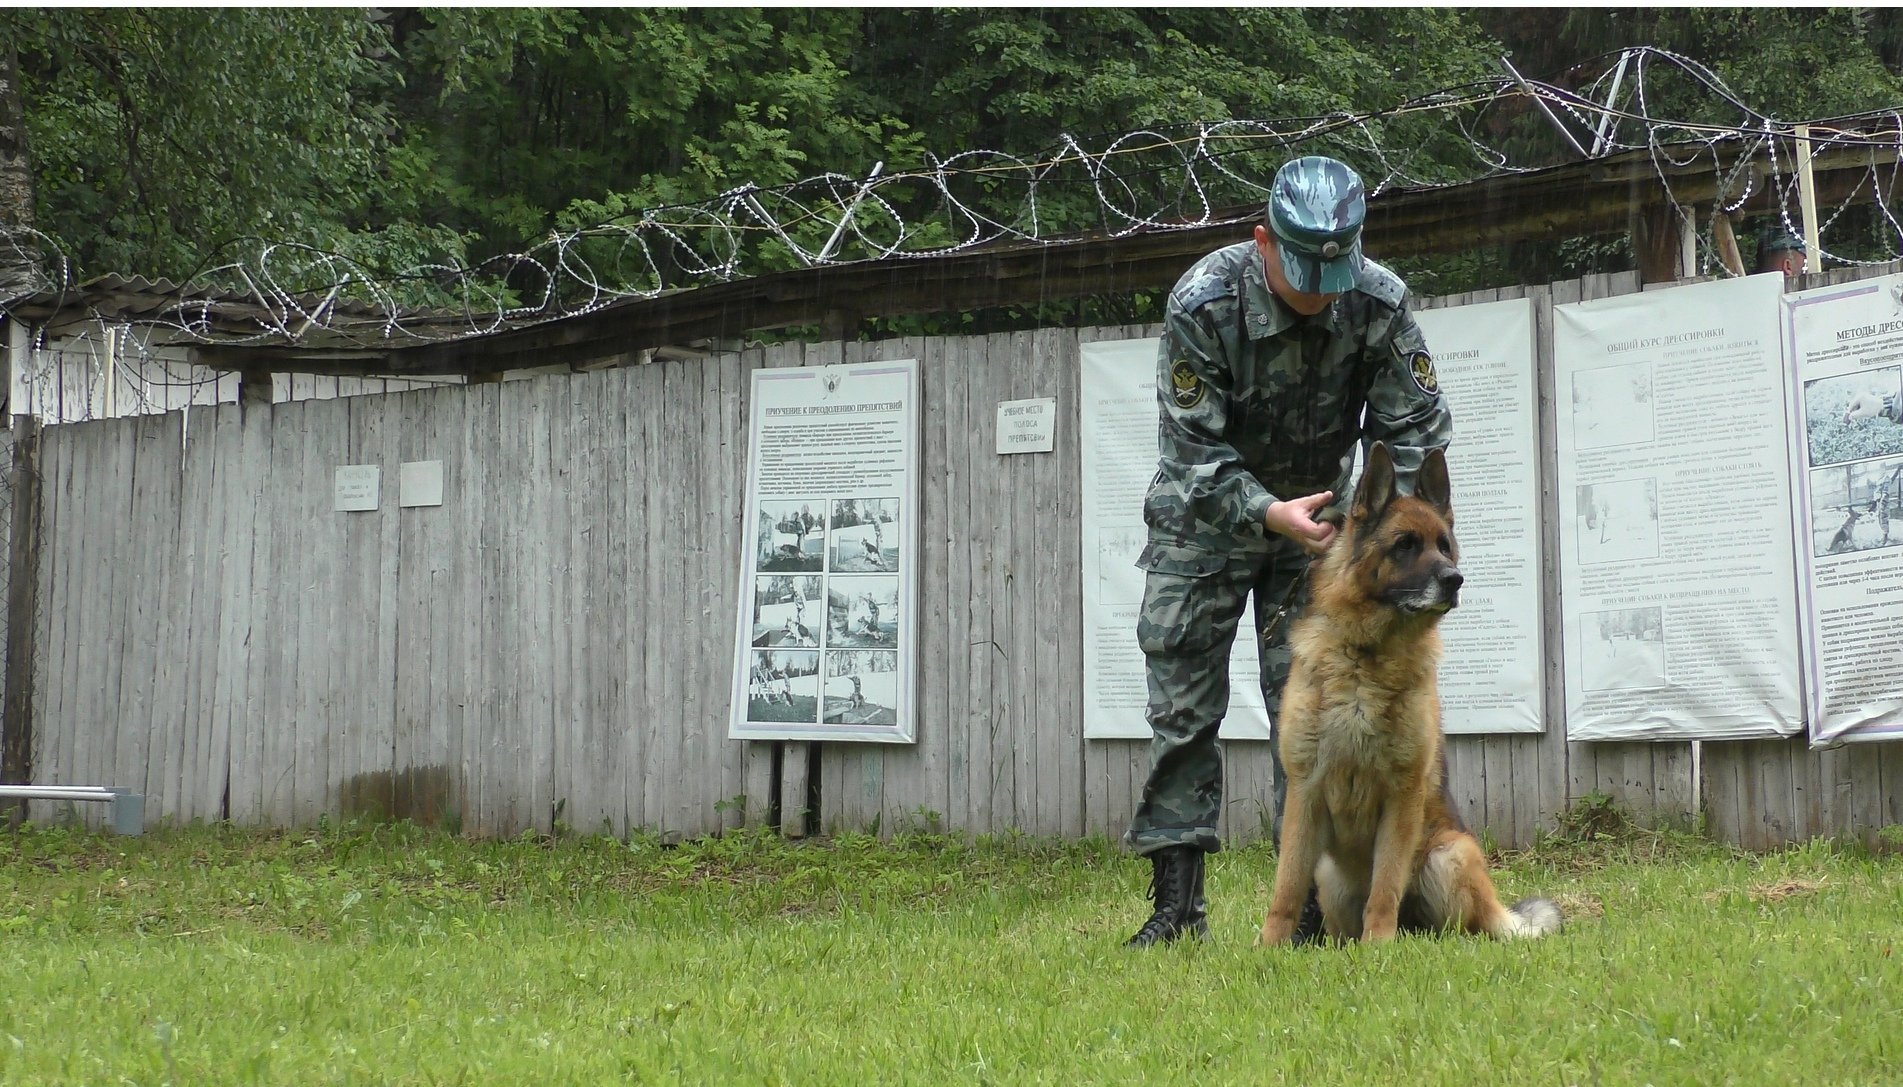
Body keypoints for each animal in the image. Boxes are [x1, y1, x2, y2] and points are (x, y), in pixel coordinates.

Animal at [1255, 447, 1552, 948]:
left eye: (1443, 545)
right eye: (1405, 545)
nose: (1455, 580)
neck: (1366, 654)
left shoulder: (1402, 796)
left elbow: (1386, 885)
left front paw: (1378, 946)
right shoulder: (1305, 792)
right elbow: (1286, 885)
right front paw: (1269, 947)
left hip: (1448, 855)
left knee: (1454, 929)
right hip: (1329, 874)